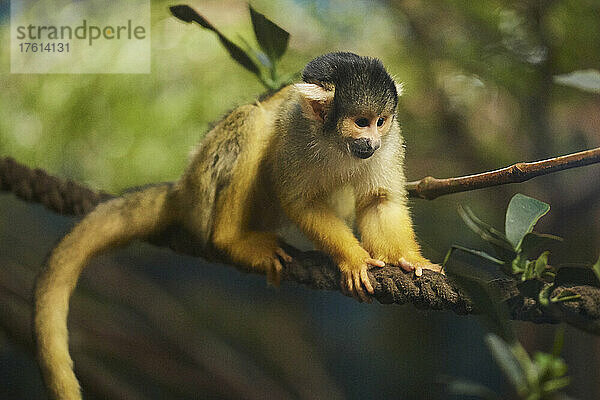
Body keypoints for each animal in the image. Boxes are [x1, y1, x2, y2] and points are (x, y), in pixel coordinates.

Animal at [32, 53, 438, 400]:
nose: (370, 141)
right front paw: (353, 259)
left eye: (381, 121)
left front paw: (407, 259)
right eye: (360, 121)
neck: (334, 141)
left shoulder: (391, 142)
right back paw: (230, 240)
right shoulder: (295, 131)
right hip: (205, 186)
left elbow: (380, 200)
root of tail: (183, 187)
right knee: (252, 121)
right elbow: (300, 201)